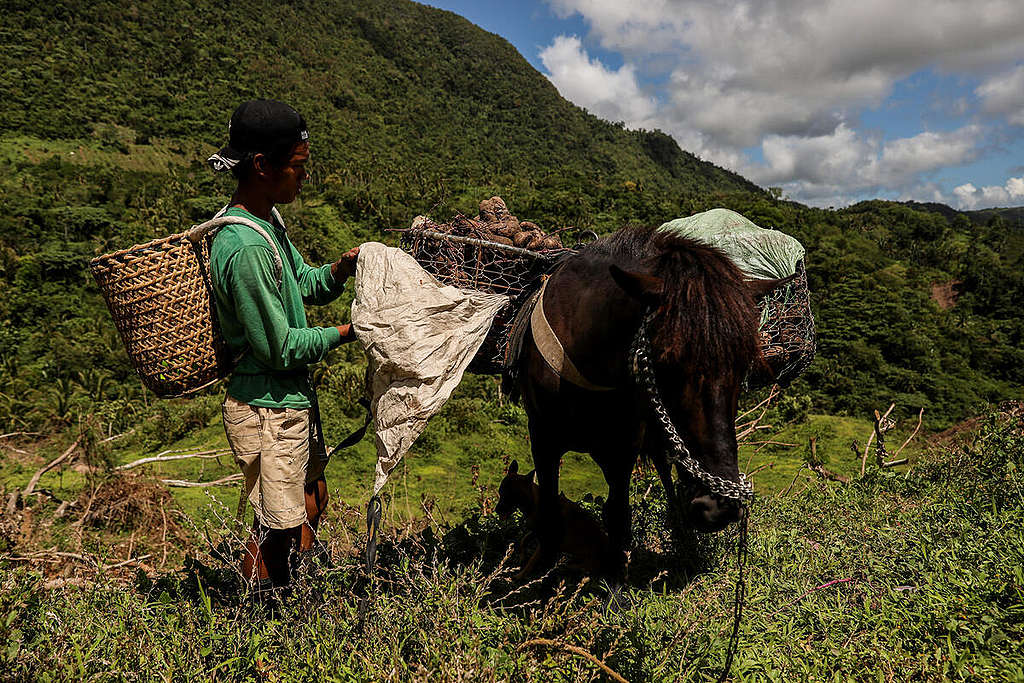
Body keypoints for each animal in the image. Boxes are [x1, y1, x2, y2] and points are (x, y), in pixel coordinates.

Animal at [516, 227, 786, 581]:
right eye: (666, 361)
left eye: (743, 367)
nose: (719, 508)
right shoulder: (543, 438)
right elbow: (549, 513)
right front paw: (530, 577)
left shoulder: (622, 448)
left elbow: (618, 517)